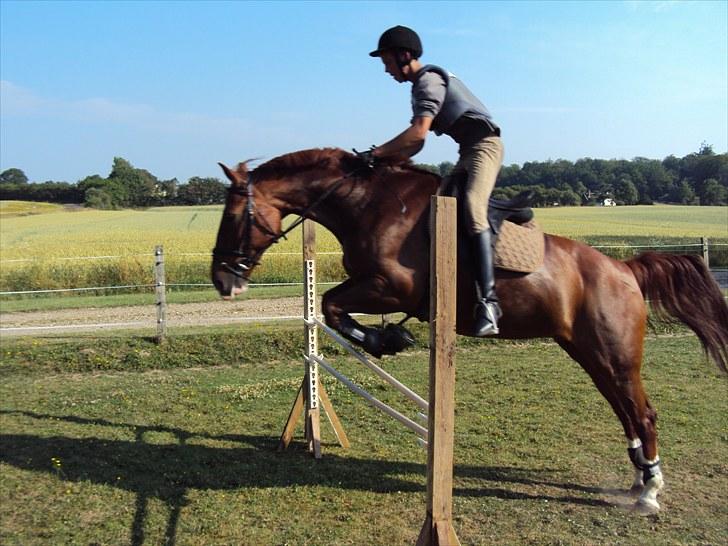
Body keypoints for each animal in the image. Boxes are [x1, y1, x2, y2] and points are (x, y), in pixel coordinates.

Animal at [210, 147, 728, 512]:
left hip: (614, 356)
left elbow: (331, 305)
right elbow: (329, 306)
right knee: (626, 413)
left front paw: (383, 339)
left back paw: (650, 491)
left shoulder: (392, 289)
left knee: (643, 414)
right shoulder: (376, 288)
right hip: (590, 354)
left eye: (232, 217)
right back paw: (639, 479)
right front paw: (385, 338)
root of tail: (625, 268)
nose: (221, 279)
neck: (367, 204)